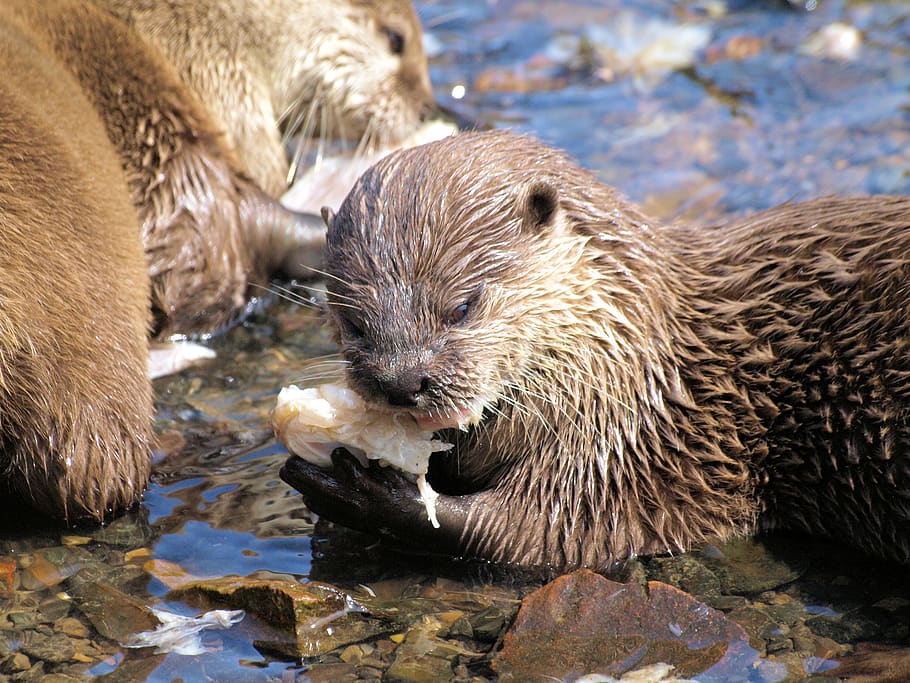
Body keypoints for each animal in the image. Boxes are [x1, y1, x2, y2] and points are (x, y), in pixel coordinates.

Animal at [282, 130, 910, 572]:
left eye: (462, 306)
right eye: (351, 321)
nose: (402, 381)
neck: (647, 365)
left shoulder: (635, 450)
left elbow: (552, 532)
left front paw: (364, 490)